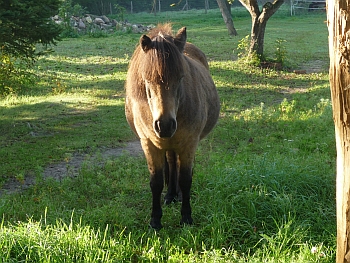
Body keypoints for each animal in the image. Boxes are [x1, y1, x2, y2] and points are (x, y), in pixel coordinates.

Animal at [125, 24, 219, 231]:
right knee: (170, 162)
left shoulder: (189, 143)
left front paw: (186, 218)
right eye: (147, 80)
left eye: (181, 77)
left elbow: (185, 179)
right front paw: (155, 220)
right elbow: (156, 182)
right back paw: (170, 195)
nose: (165, 125)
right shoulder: (149, 144)